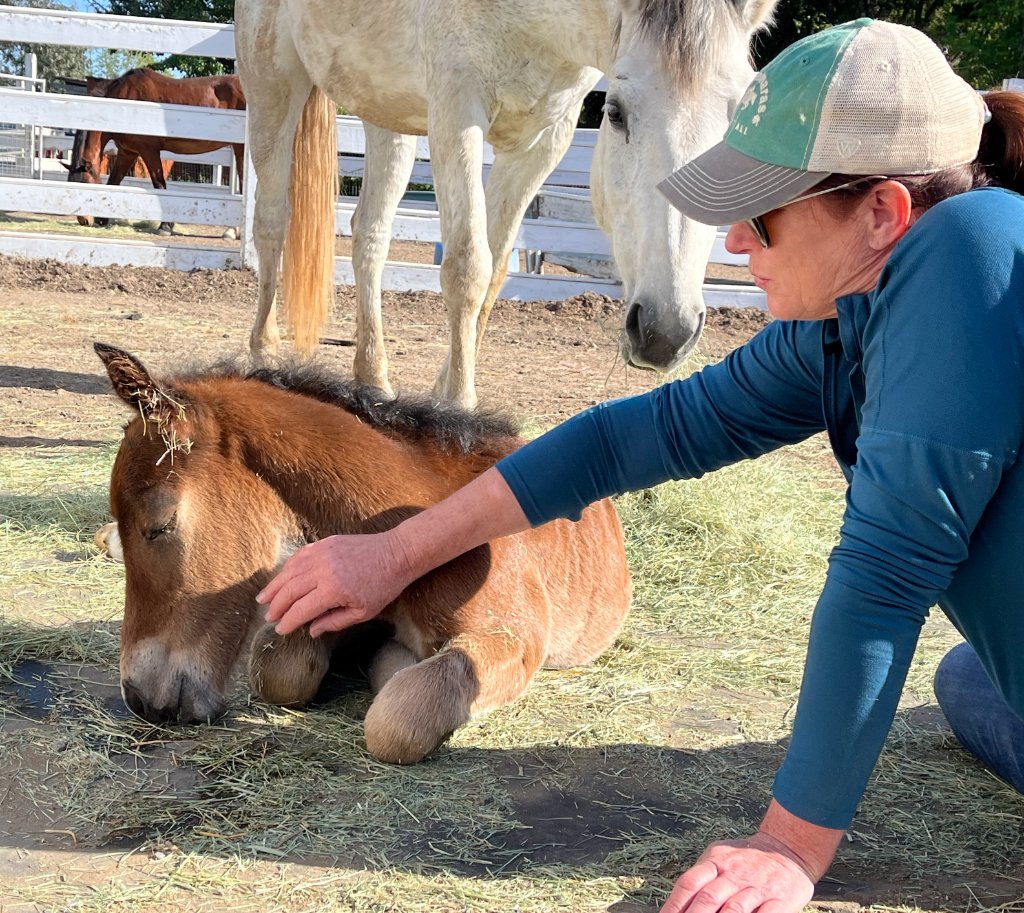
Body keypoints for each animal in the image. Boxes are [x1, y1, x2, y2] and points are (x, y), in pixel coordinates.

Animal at [65, 69, 246, 237]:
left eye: (84, 183)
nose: (84, 220)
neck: (124, 102)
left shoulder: (149, 151)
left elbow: (159, 184)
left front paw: (165, 227)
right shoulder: (127, 153)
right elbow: (113, 182)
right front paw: (103, 219)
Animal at [235, 0, 778, 408]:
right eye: (616, 113)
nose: (667, 330)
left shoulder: (540, 143)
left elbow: (495, 271)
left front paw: (443, 393)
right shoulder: (457, 112)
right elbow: (466, 268)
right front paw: (457, 407)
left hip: (385, 110)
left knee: (370, 236)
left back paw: (372, 377)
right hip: (273, 85)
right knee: (272, 221)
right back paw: (265, 354)